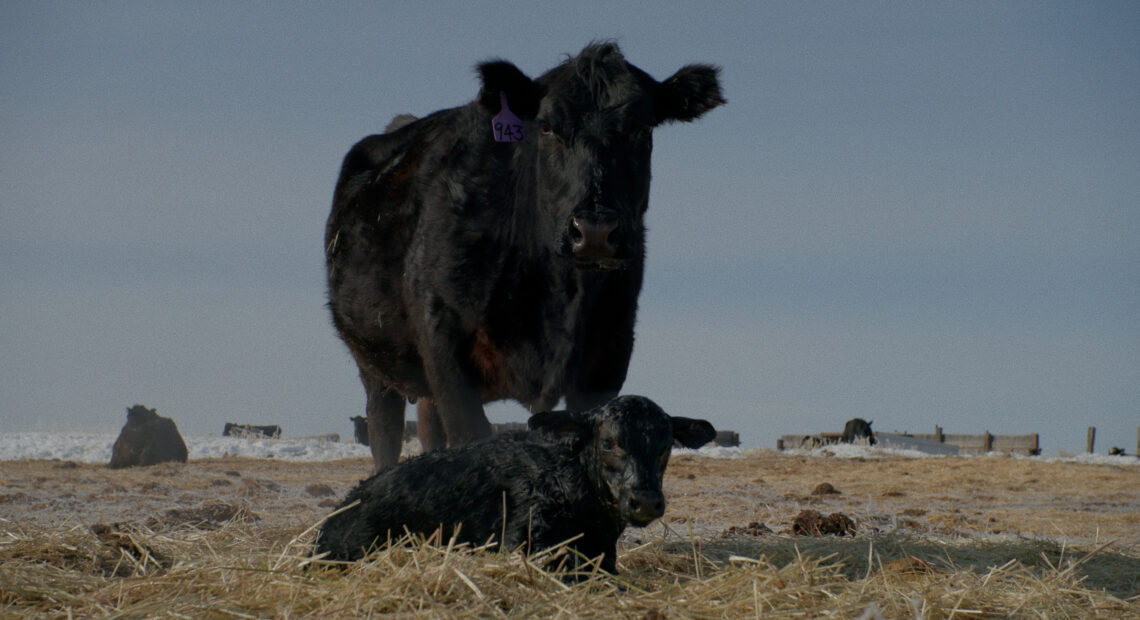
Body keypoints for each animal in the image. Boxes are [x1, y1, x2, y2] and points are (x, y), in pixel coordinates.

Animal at [326, 42, 725, 469]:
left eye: (642, 128)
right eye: (547, 127)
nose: (595, 231)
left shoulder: (609, 354)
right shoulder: (445, 346)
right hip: (373, 361)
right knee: (384, 429)